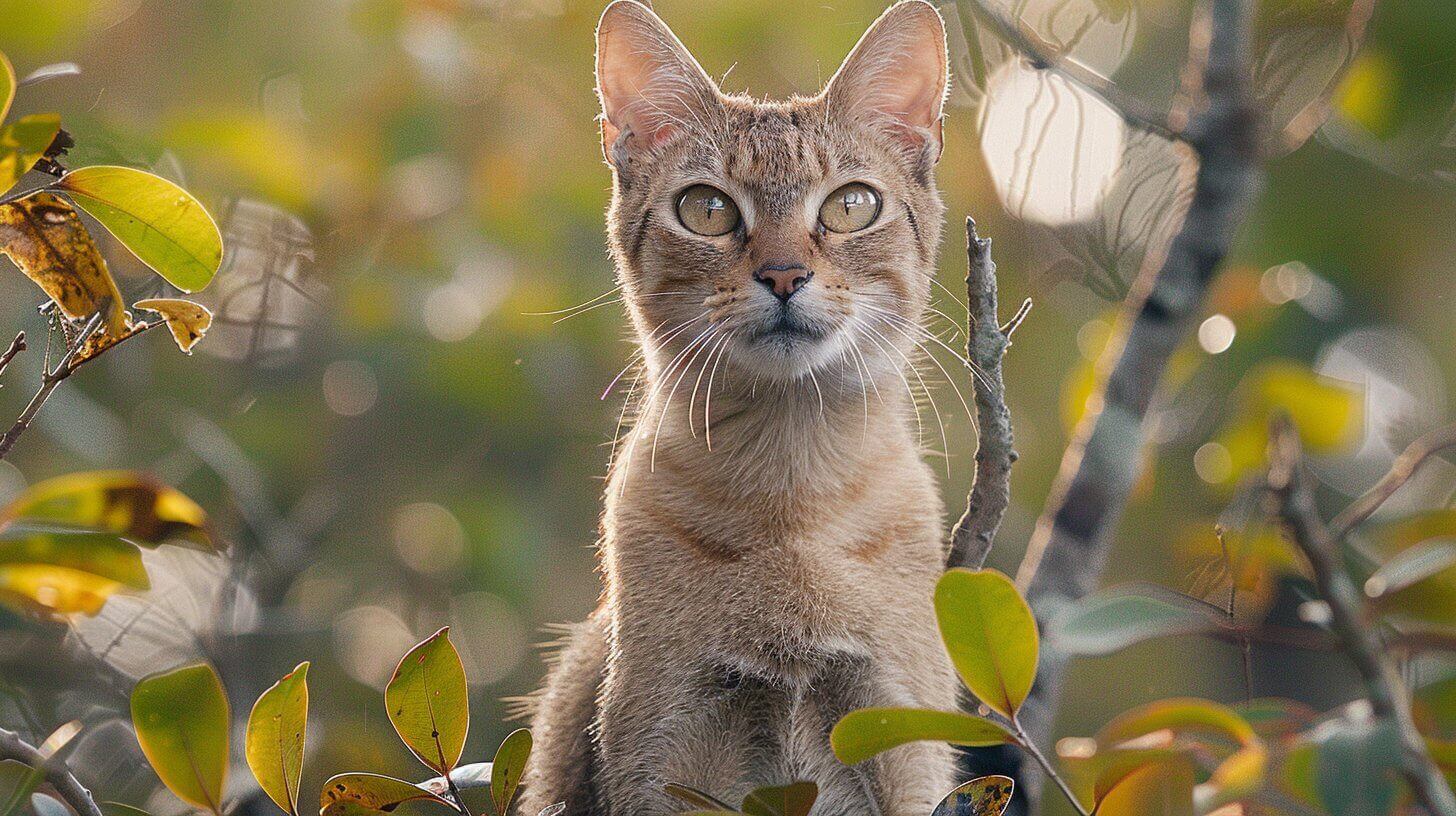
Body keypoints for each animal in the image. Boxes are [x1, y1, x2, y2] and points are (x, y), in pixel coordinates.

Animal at [518, 3, 960, 810]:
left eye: (852, 205)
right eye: (706, 209)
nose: (783, 275)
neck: (788, 501)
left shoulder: (899, 744)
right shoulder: (665, 755)